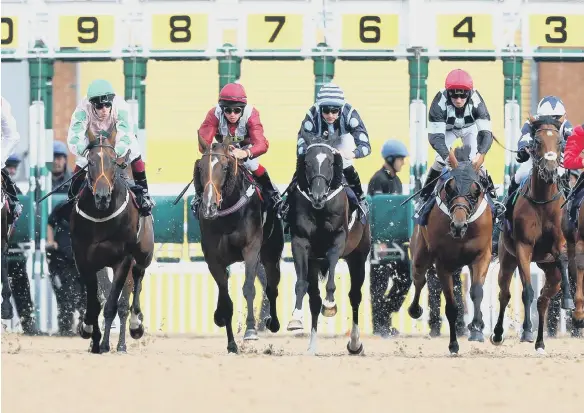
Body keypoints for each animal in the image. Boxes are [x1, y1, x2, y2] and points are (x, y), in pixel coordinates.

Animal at [70, 134, 154, 352]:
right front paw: (89, 331)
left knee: (135, 284)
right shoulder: (84, 259)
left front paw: (106, 343)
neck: (101, 219)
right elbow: (95, 301)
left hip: (143, 255)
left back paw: (132, 330)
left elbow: (112, 304)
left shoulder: (123, 260)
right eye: (90, 162)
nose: (102, 196)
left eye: (113, 162)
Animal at [195, 132, 284, 350]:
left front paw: (251, 330)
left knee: (272, 286)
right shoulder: (213, 258)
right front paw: (231, 343)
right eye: (200, 168)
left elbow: (249, 288)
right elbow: (225, 297)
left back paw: (272, 322)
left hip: (272, 254)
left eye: (225, 167)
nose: (208, 207)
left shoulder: (251, 249)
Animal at [286, 131, 370, 354]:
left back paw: (355, 343)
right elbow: (301, 284)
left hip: (358, 256)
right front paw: (295, 318)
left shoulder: (338, 241)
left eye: (331, 162)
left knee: (355, 296)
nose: (318, 195)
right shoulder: (300, 243)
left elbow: (332, 279)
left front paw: (330, 304)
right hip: (315, 262)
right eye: (307, 162)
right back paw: (312, 346)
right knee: (314, 300)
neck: (320, 208)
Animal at [410, 146, 492, 354]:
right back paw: (414, 309)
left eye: (476, 190)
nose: (458, 225)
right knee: (419, 279)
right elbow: (451, 307)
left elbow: (476, 292)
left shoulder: (482, 256)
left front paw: (477, 328)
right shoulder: (442, 264)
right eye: (450, 188)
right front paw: (453, 344)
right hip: (420, 253)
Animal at [490, 115, 572, 350]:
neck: (543, 201)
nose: (551, 170)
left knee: (544, 299)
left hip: (549, 269)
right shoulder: (523, 248)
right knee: (505, 293)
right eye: (536, 141)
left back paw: (541, 342)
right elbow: (526, 290)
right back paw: (498, 333)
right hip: (507, 259)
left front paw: (568, 299)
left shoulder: (559, 243)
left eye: (560, 142)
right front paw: (526, 330)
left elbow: (563, 258)